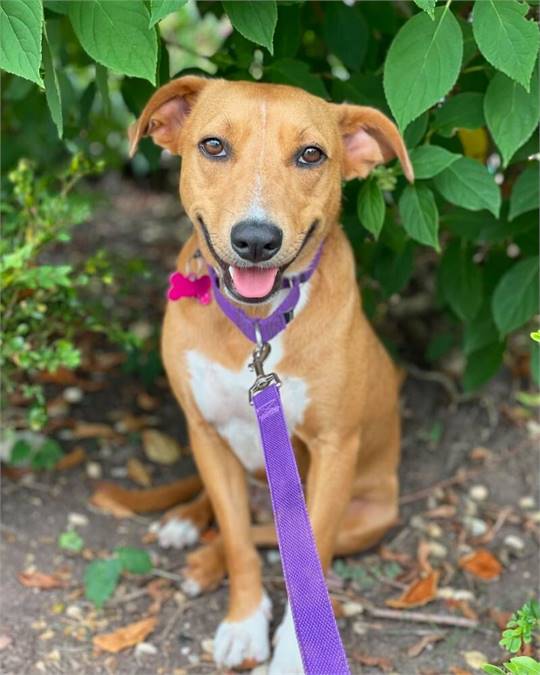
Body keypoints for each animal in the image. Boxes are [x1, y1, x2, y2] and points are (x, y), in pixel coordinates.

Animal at [127, 76, 414, 672]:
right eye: (213, 146)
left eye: (311, 155)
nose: (256, 239)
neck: (258, 326)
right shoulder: (205, 433)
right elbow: (238, 541)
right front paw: (243, 622)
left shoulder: (334, 450)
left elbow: (305, 556)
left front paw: (294, 652)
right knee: (238, 520)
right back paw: (187, 525)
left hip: (367, 517)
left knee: (273, 534)